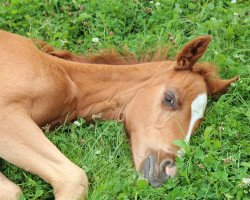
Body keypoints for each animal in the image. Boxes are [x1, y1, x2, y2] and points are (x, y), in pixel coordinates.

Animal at [0, 30, 238, 200]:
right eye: (169, 98)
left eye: (198, 123)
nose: (169, 170)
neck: (68, 80)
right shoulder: (7, 115)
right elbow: (72, 179)